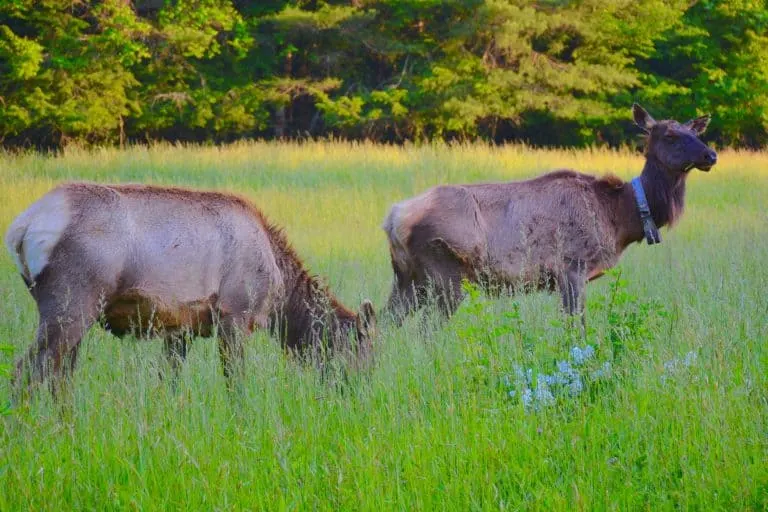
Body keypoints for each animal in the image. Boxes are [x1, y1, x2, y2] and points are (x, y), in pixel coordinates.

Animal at [5, 183, 378, 396]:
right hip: (72, 302)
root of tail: (21, 228)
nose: (361, 391)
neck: (279, 292)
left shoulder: (178, 326)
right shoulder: (234, 314)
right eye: (363, 350)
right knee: (25, 371)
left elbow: (168, 383)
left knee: (59, 376)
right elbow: (235, 384)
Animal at [384, 104, 720, 328]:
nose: (710, 155)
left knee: (384, 323)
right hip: (445, 275)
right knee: (426, 330)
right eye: (670, 135)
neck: (620, 217)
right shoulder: (572, 266)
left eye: (696, 131)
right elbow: (577, 326)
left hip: (409, 278)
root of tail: (393, 218)